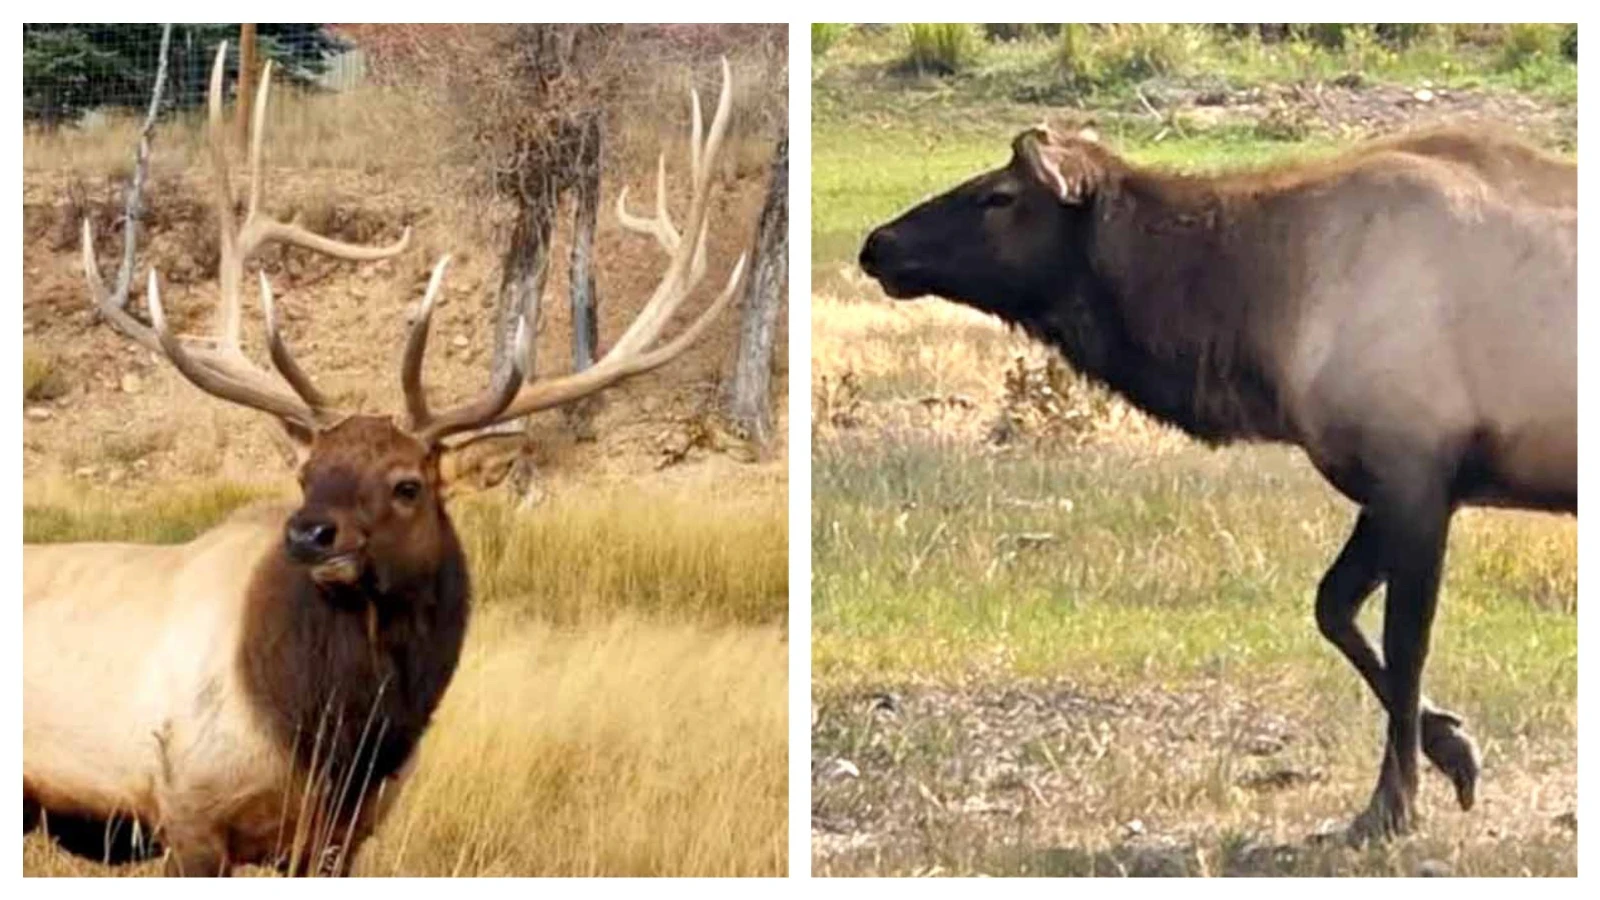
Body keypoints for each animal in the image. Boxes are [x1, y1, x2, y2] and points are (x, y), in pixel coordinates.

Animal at [24, 42, 748, 876]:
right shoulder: (188, 811)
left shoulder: (345, 835)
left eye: (407, 484)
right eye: (305, 474)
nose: (309, 533)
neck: (339, 744)